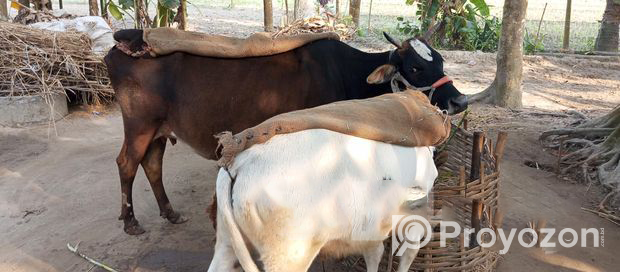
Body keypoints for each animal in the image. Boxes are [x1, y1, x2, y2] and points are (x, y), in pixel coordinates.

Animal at [211, 129, 438, 270]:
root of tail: (239, 164)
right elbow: (408, 253)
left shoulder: (372, 227)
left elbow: (375, 252)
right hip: (287, 254)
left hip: (226, 241)